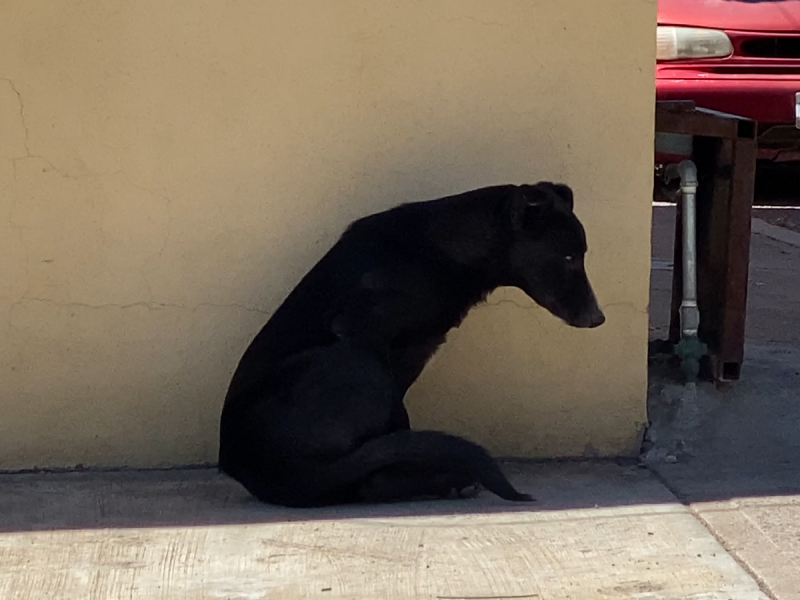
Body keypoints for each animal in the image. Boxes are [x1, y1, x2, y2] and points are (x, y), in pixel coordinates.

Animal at [219, 182, 608, 506]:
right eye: (568, 257)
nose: (599, 318)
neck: (440, 252)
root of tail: (256, 469)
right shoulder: (362, 333)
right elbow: (397, 423)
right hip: (353, 364)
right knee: (363, 482)